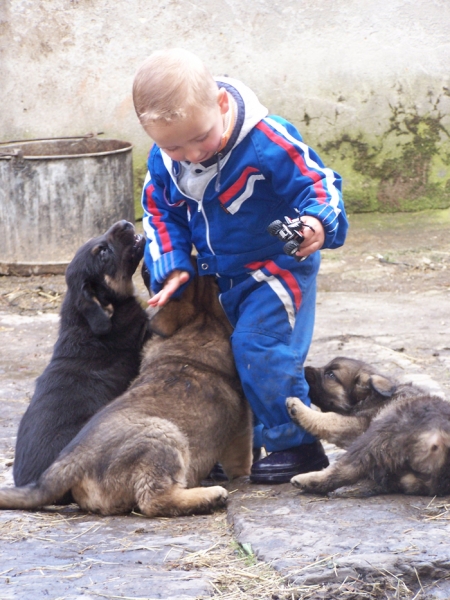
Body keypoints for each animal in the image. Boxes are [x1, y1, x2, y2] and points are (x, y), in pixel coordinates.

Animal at [0, 270, 253, 516]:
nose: (146, 267)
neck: (198, 326)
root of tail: (69, 462)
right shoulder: (240, 429)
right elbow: (241, 460)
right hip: (163, 435)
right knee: (154, 501)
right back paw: (211, 496)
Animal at [286, 358, 450, 494]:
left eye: (330, 375)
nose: (303, 370)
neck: (370, 396)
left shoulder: (356, 426)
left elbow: (328, 419)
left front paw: (297, 407)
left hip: (379, 434)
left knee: (345, 470)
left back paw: (306, 480)